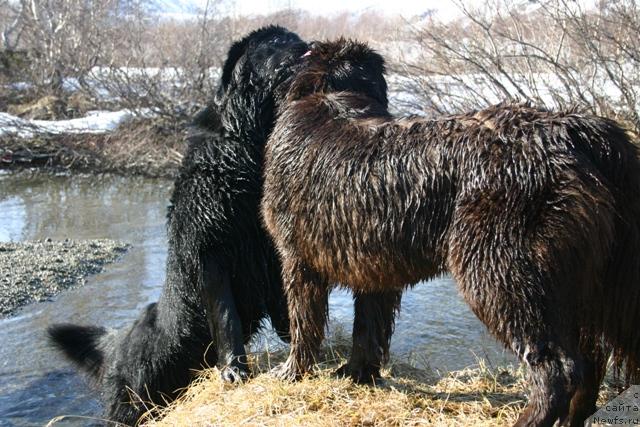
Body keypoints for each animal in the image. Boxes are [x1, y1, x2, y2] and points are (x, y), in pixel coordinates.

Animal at [47, 25, 308, 424]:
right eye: (277, 43)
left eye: (295, 38)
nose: (310, 46)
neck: (247, 149)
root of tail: (116, 343)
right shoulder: (210, 250)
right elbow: (226, 316)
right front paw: (234, 371)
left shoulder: (272, 246)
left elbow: (286, 303)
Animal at [258, 40, 640, 427]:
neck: (332, 93)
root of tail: (572, 127)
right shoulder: (375, 272)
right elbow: (368, 330)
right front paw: (357, 373)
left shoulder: (296, 259)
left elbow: (304, 323)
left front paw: (292, 372)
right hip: (583, 286)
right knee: (591, 362)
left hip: (504, 274)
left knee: (559, 367)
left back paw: (528, 418)